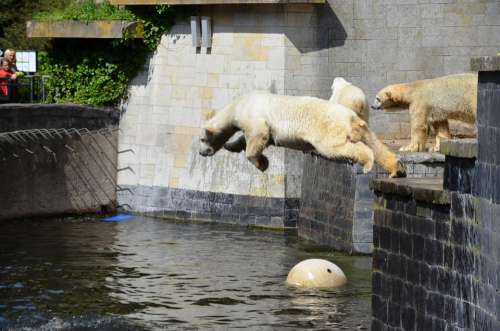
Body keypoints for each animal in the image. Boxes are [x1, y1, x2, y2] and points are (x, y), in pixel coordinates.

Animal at [199, 91, 406, 179]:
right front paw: (230, 145)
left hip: (328, 130)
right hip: (362, 127)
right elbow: (248, 138)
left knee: (338, 147)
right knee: (376, 145)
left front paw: (262, 164)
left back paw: (367, 164)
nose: (201, 153)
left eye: (201, 139)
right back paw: (397, 169)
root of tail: (351, 116)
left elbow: (258, 137)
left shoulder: (255, 118)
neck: (238, 105)